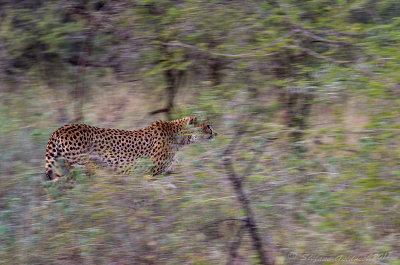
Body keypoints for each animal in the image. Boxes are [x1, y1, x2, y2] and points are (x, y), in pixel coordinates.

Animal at [45, 116, 217, 180]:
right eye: (208, 126)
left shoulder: (166, 171)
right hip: (82, 165)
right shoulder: (150, 172)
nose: (216, 133)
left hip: (62, 169)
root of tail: (60, 129)